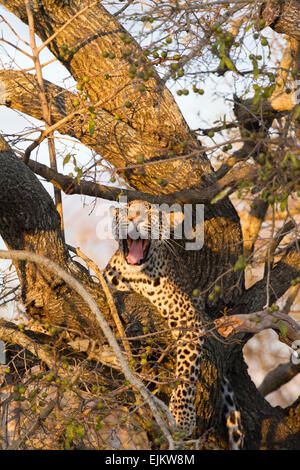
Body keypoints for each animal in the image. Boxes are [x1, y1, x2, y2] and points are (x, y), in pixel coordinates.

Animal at [103, 198, 244, 448]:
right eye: (126, 212)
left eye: (149, 213)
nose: (133, 218)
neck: (135, 275)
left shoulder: (188, 319)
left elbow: (186, 373)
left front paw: (183, 417)